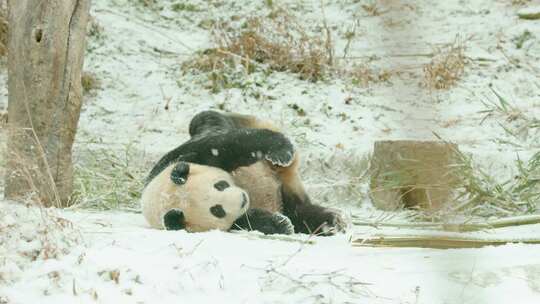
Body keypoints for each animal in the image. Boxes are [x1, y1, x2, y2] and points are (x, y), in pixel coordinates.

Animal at [141, 110, 346, 236]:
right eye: (217, 210)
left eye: (220, 185)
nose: (242, 199)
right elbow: (247, 221)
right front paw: (280, 224)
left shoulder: (191, 156)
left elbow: (227, 147)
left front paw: (280, 150)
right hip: (287, 197)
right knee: (299, 211)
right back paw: (328, 222)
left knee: (209, 119)